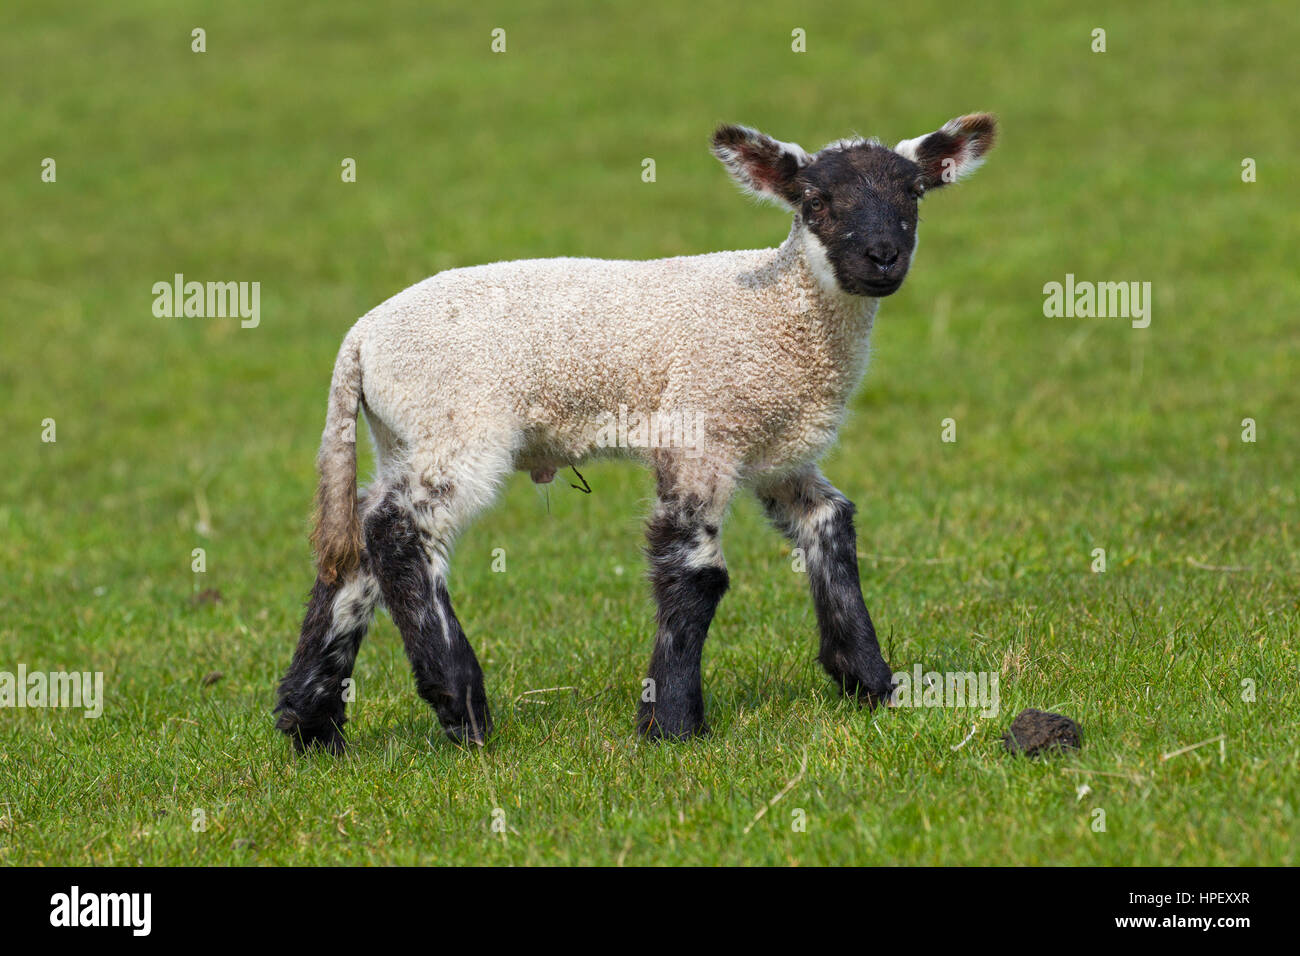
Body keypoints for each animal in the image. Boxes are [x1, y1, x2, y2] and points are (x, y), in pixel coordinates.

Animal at [276, 113, 993, 754]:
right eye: (815, 200)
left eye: (913, 193)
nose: (883, 258)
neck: (780, 309)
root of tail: (360, 340)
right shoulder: (700, 423)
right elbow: (695, 571)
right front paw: (671, 723)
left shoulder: (774, 449)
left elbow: (832, 526)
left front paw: (870, 681)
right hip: (457, 423)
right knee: (399, 532)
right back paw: (460, 707)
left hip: (402, 435)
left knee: (356, 542)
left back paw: (310, 723)